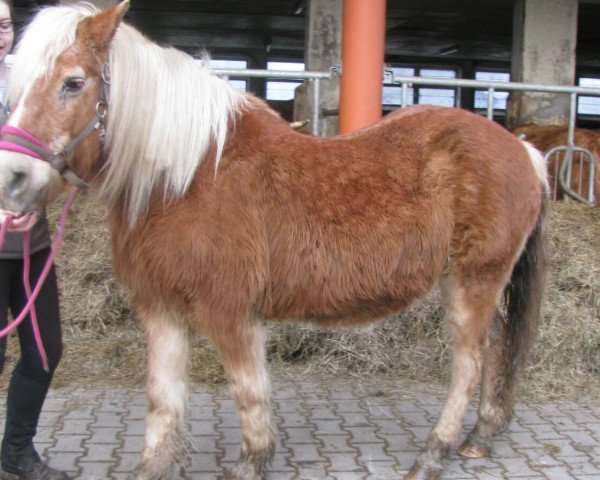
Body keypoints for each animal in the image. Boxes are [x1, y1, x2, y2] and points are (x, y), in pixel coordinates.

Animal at [0, 1, 548, 478]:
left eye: (74, 82)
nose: (14, 178)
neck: (187, 175)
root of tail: (525, 151)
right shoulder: (161, 310)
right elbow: (162, 401)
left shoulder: (229, 313)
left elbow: (248, 391)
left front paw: (252, 460)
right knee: (497, 346)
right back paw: (480, 436)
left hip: (472, 280)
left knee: (470, 361)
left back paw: (435, 453)